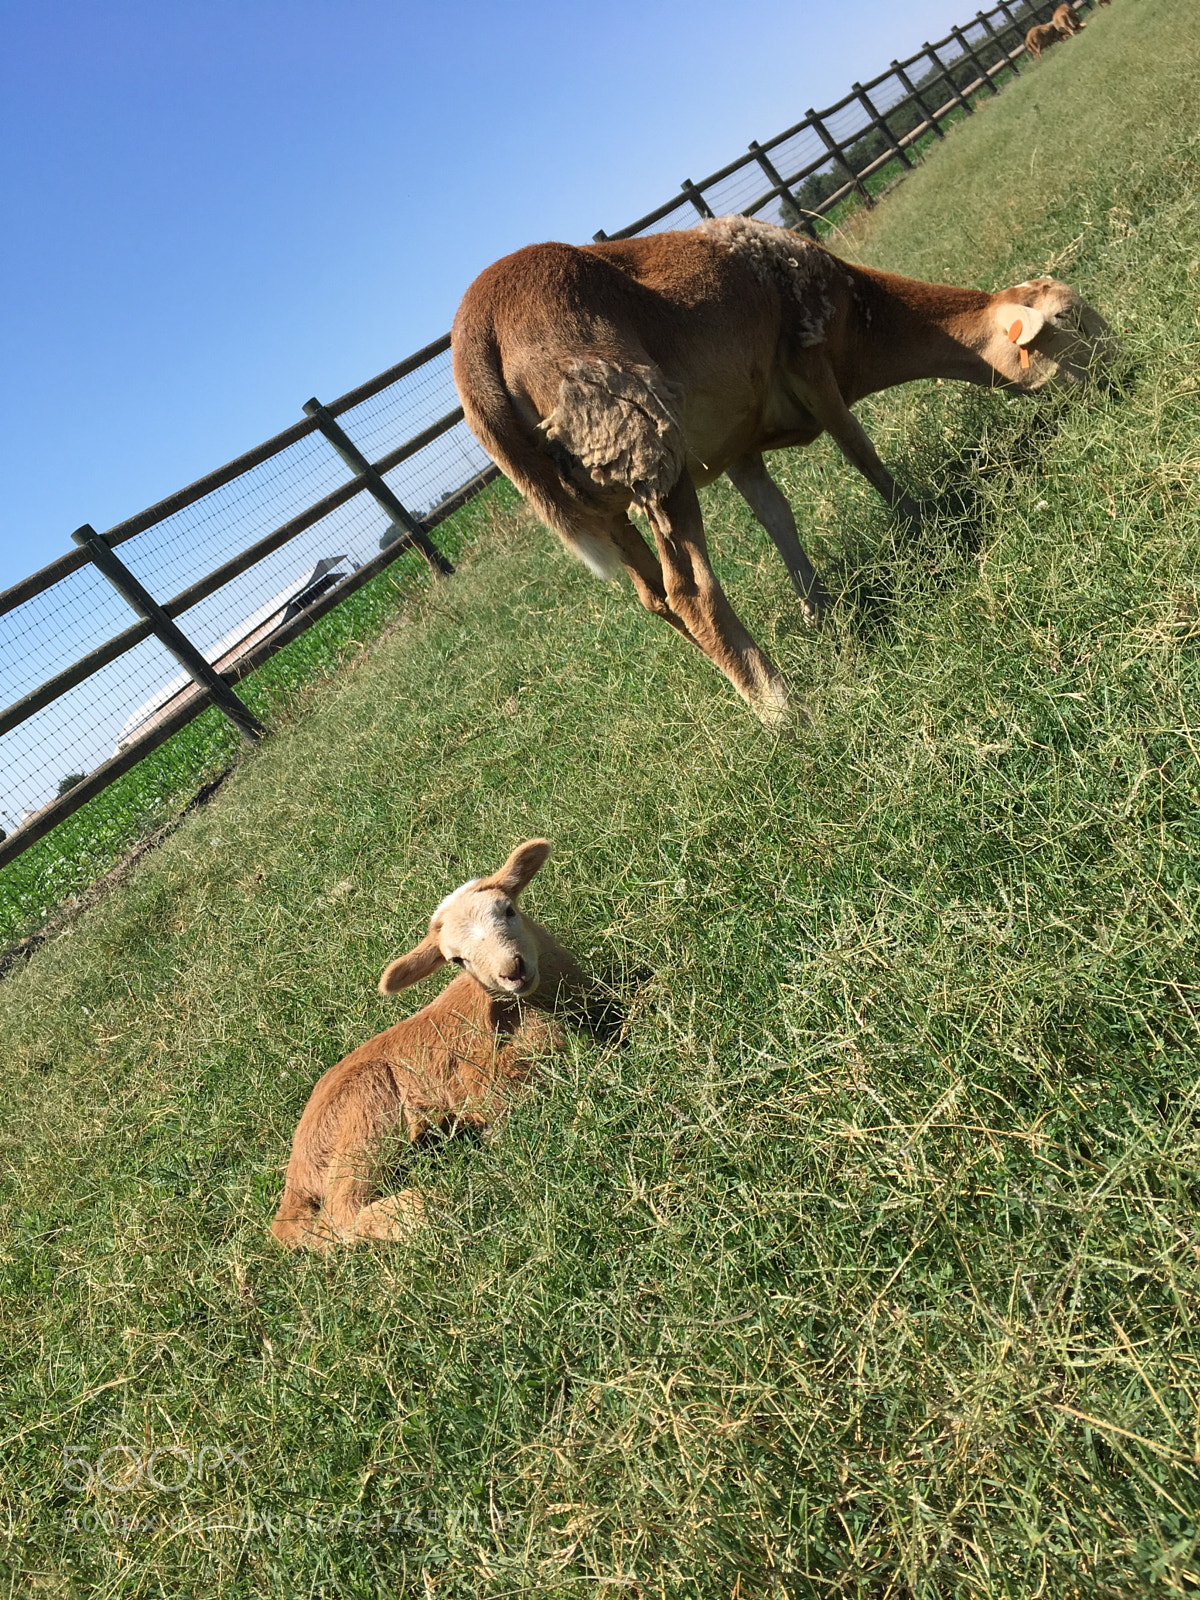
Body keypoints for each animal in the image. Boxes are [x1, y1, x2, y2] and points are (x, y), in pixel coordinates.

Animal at [271, 839, 591, 1250]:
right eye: (456, 960)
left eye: (508, 910)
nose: (512, 971)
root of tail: (295, 1179)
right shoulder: (479, 1077)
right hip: (366, 1111)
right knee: (341, 1212)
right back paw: (426, 1205)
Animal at [451, 215, 1114, 724]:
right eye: (1073, 323)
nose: (1122, 374)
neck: (861, 320)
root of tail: (476, 332)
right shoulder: (809, 357)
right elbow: (858, 449)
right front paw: (920, 520)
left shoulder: (738, 446)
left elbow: (778, 517)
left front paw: (817, 607)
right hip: (639, 437)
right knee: (689, 591)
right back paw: (783, 711)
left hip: (607, 492)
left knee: (654, 596)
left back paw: (743, 685)